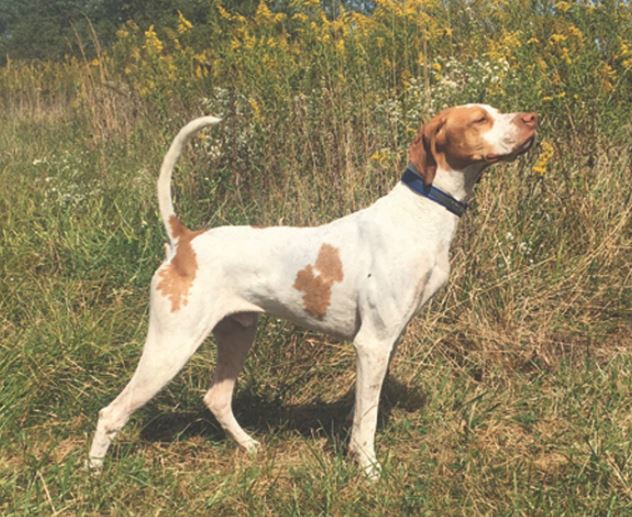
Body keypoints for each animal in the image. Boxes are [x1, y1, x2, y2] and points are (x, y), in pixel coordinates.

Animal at [87, 103, 540, 478]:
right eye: (480, 119)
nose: (532, 118)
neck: (420, 212)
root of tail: (184, 240)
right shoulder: (373, 343)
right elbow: (366, 421)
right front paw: (369, 471)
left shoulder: (385, 343)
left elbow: (365, 409)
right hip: (171, 345)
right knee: (111, 412)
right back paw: (94, 476)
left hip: (237, 334)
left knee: (216, 398)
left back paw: (249, 446)